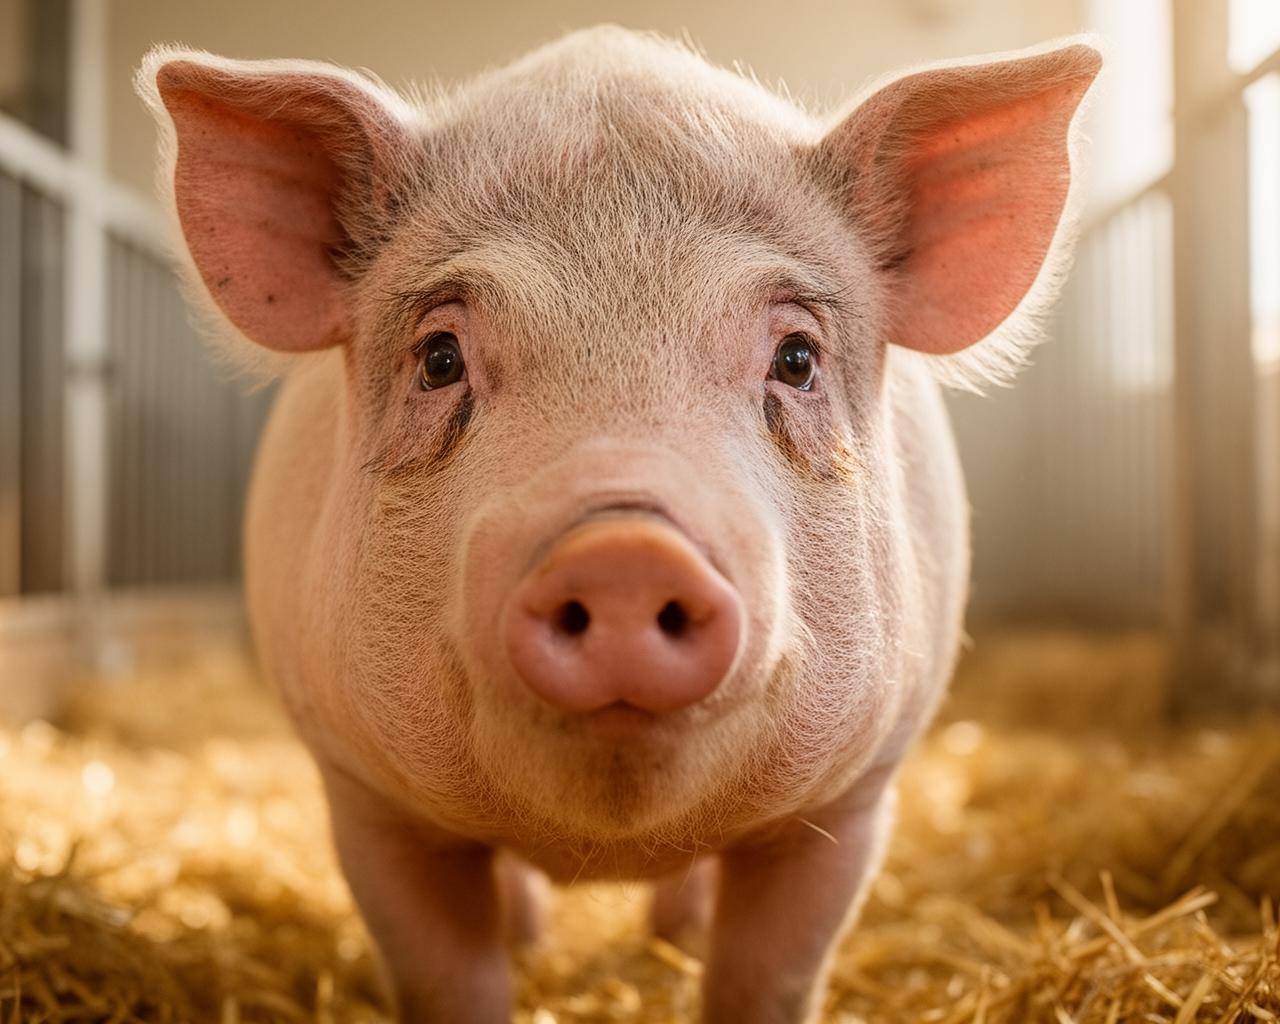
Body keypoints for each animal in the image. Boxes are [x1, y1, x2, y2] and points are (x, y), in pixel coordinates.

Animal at [137, 26, 1099, 1023]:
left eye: (797, 358)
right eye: (440, 358)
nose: (625, 552)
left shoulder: (851, 801)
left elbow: (769, 975)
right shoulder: (365, 798)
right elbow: (448, 975)